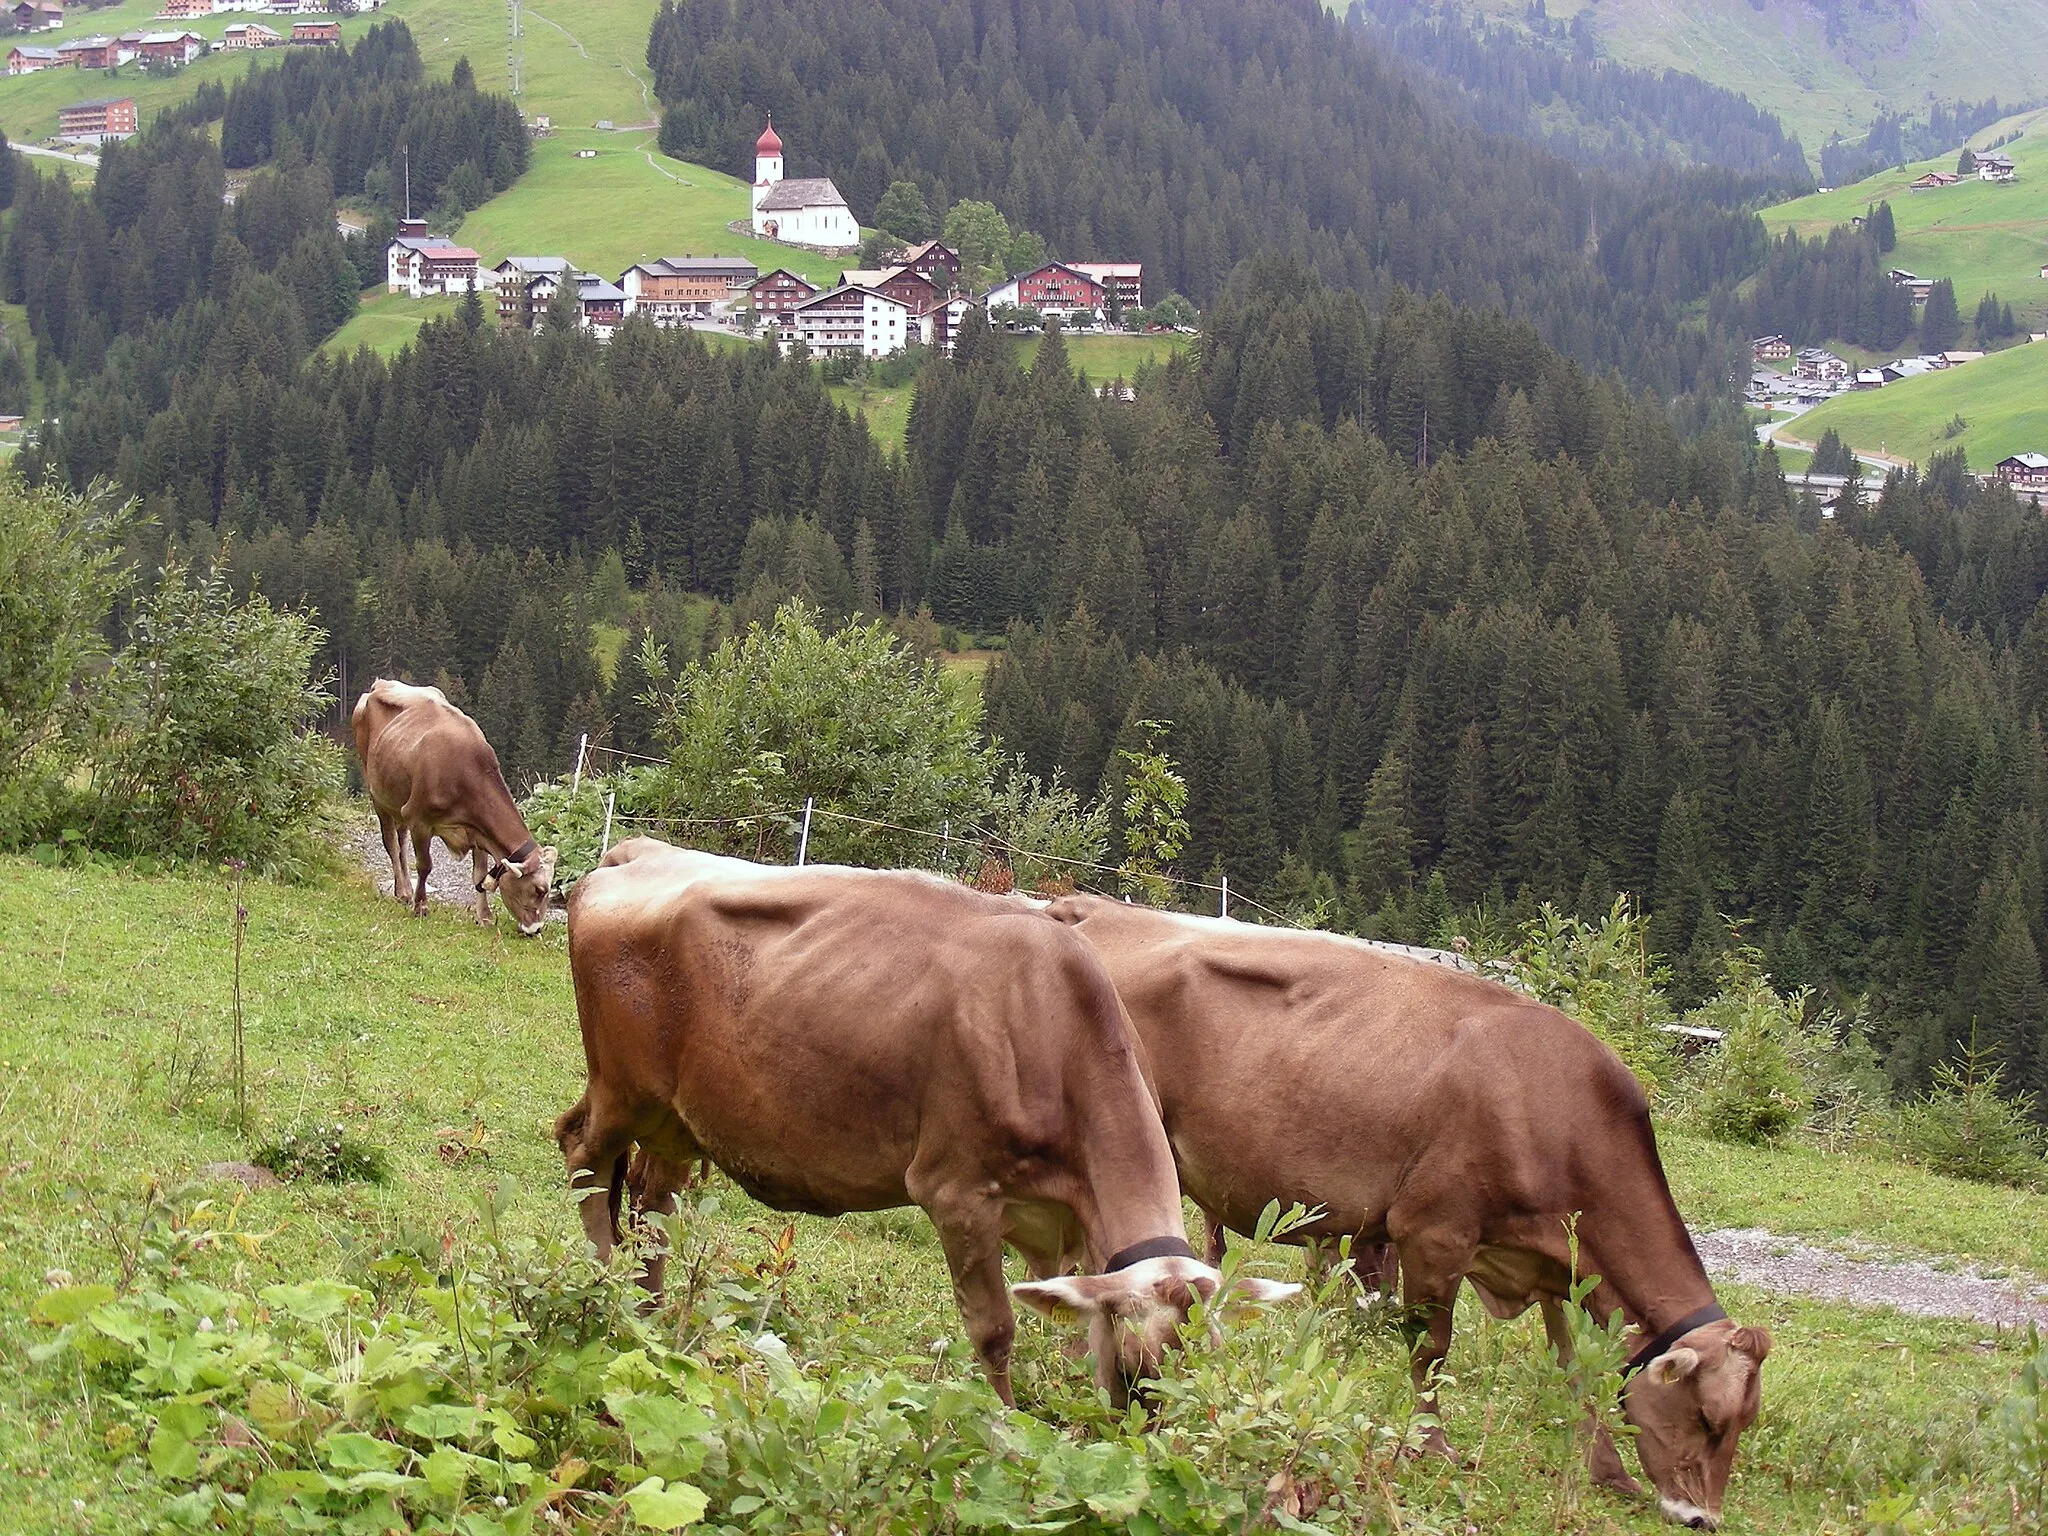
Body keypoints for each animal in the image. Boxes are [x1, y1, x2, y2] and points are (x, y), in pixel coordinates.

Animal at [350, 684, 557, 937]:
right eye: (539, 890)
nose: (536, 929)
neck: (465, 772)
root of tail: (380, 685)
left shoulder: (478, 830)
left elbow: (479, 875)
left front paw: (484, 916)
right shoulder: (419, 820)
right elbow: (425, 866)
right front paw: (421, 907)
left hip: (398, 800)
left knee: (401, 842)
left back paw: (405, 889)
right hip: (377, 794)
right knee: (391, 844)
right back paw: (404, 893)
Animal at [557, 843, 1294, 1409]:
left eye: (1208, 1362)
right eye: (1143, 1374)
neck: (1057, 1029)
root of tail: (638, 853)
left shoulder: (1063, 1226)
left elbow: (1066, 1327)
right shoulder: (957, 1193)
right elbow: (995, 1331)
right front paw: (1003, 1426)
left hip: (677, 1118)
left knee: (652, 1205)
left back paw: (651, 1315)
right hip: (622, 1089)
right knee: (582, 1156)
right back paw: (603, 1287)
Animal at [1048, 897, 1769, 1531]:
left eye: (1743, 1424)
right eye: (1707, 1419)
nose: (1702, 1517)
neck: (1554, 1108)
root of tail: (1091, 908)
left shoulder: (1544, 1259)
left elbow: (1570, 1363)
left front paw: (1608, 1470)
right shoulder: (1434, 1232)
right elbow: (1432, 1346)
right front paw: (1433, 1445)